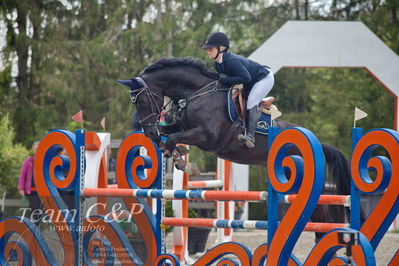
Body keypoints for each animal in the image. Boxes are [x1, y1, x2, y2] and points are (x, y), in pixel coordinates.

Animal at [119, 56, 360, 239]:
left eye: (141, 101)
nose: (148, 131)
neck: (196, 93)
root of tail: (317, 143)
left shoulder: (206, 136)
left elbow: (173, 138)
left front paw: (183, 162)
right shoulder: (183, 126)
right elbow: (167, 136)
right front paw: (176, 154)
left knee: (322, 220)